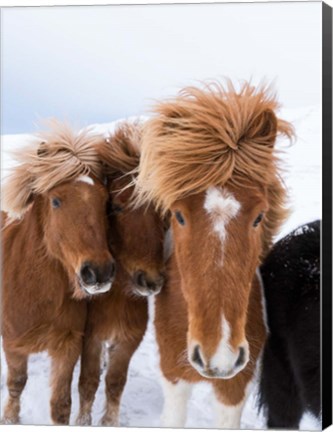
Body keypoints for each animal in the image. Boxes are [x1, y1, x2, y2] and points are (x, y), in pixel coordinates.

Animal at [0, 122, 115, 426]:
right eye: (56, 201)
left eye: (105, 201)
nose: (98, 272)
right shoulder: (13, 345)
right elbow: (16, 384)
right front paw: (11, 418)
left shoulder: (68, 344)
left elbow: (61, 405)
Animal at [74, 120, 165, 426]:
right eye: (114, 206)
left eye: (161, 212)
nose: (150, 280)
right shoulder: (90, 337)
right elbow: (88, 382)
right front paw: (82, 421)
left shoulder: (128, 340)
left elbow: (115, 382)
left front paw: (109, 422)